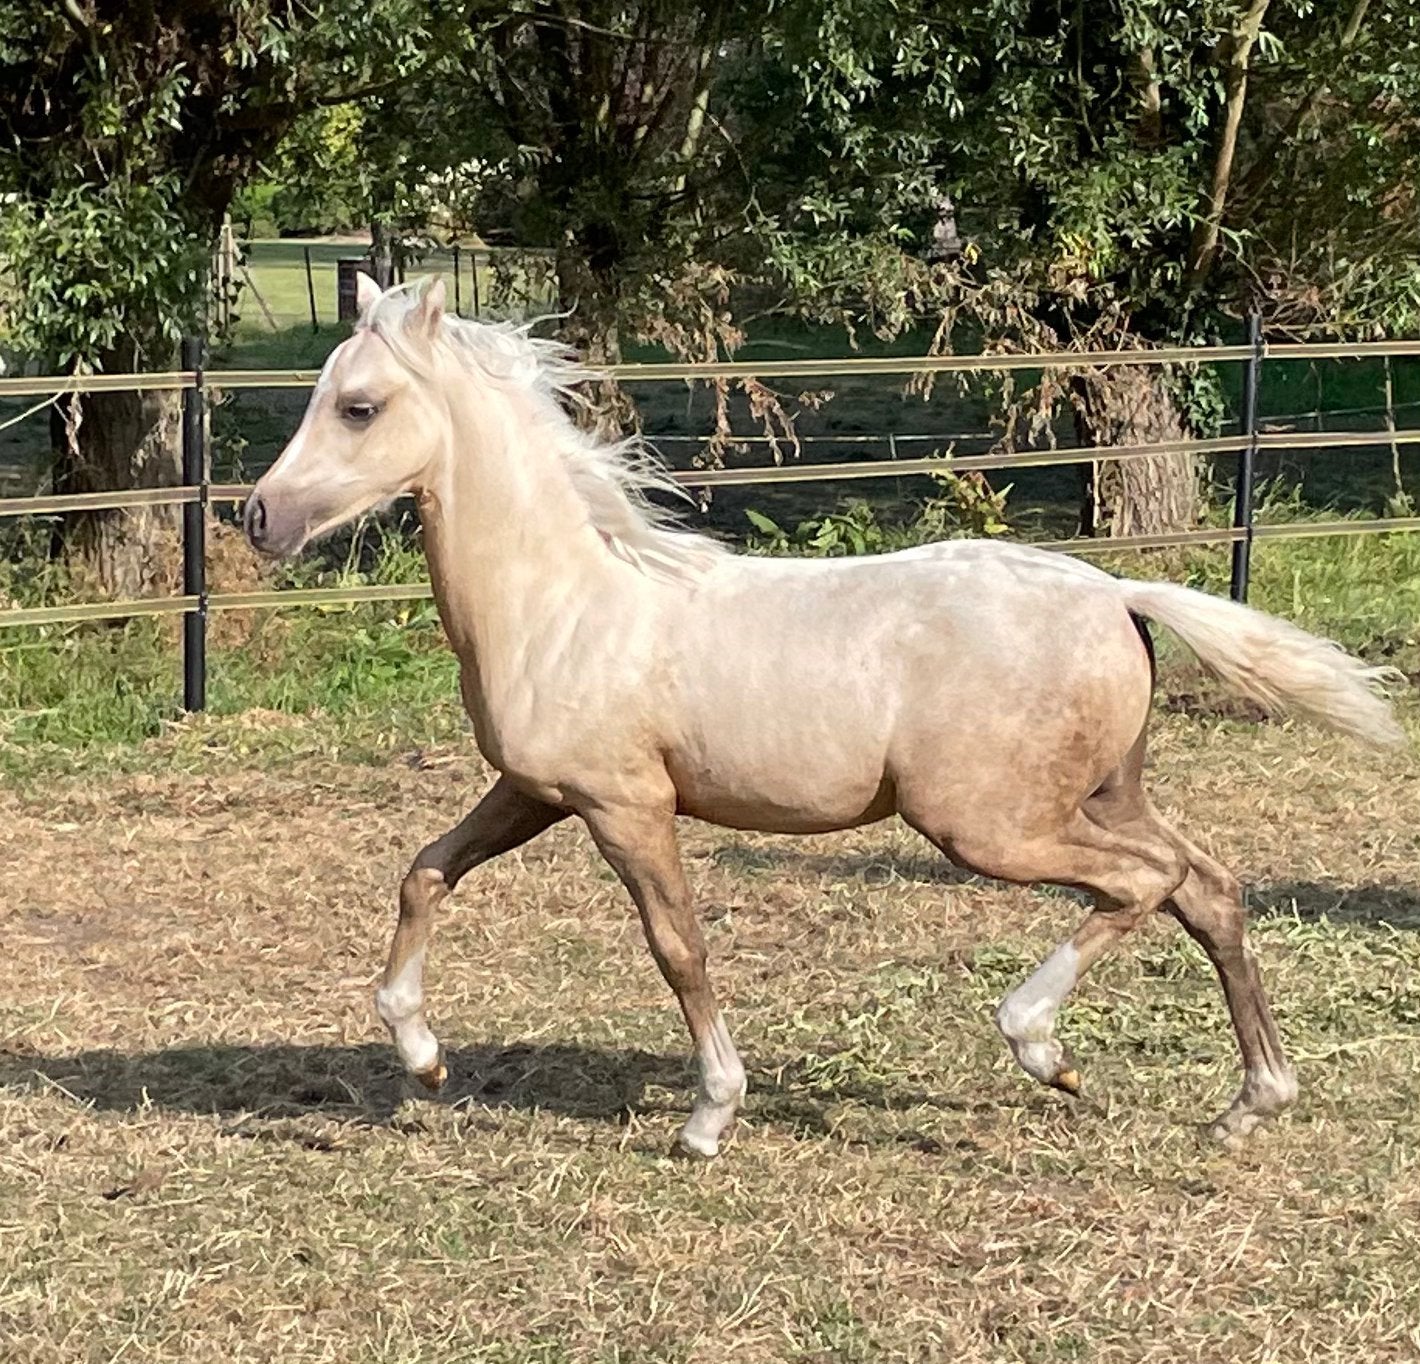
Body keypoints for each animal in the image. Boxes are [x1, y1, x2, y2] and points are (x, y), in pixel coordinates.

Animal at [244, 276, 1403, 1159]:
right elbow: (425, 872)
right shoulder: (536, 791)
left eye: (357, 406)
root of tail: (1115, 591)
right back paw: (1249, 1102)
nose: (258, 517)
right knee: (1207, 887)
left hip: (987, 824)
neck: (568, 601)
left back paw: (1043, 1048)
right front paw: (423, 1055)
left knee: (1145, 883)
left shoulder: (625, 806)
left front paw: (708, 1118)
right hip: (1098, 794)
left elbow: (677, 946)